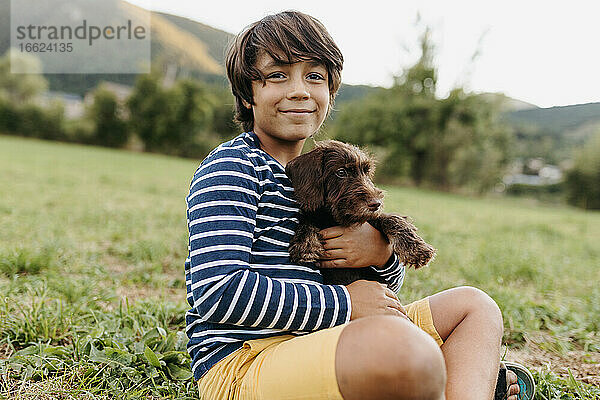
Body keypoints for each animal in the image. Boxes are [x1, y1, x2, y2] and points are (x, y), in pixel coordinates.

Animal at [286, 139, 436, 286]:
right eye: (341, 172)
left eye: (366, 172)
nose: (376, 204)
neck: (333, 218)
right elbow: (306, 219)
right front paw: (305, 243)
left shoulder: (370, 219)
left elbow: (390, 218)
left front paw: (416, 248)